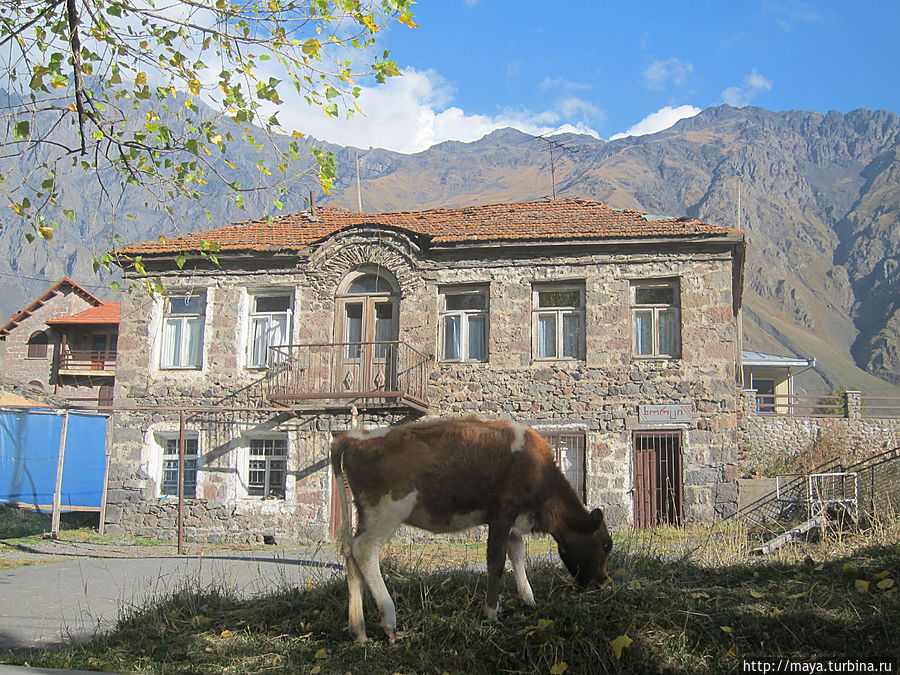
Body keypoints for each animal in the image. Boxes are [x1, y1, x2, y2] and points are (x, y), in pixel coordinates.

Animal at [328, 414, 612, 640]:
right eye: (606, 545)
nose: (604, 582)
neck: (537, 467)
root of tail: (356, 437)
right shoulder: (503, 514)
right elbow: (496, 561)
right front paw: (491, 611)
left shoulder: (512, 523)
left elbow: (518, 554)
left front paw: (528, 599)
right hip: (387, 512)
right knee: (365, 550)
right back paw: (389, 620)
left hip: (366, 515)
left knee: (349, 552)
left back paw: (359, 630)